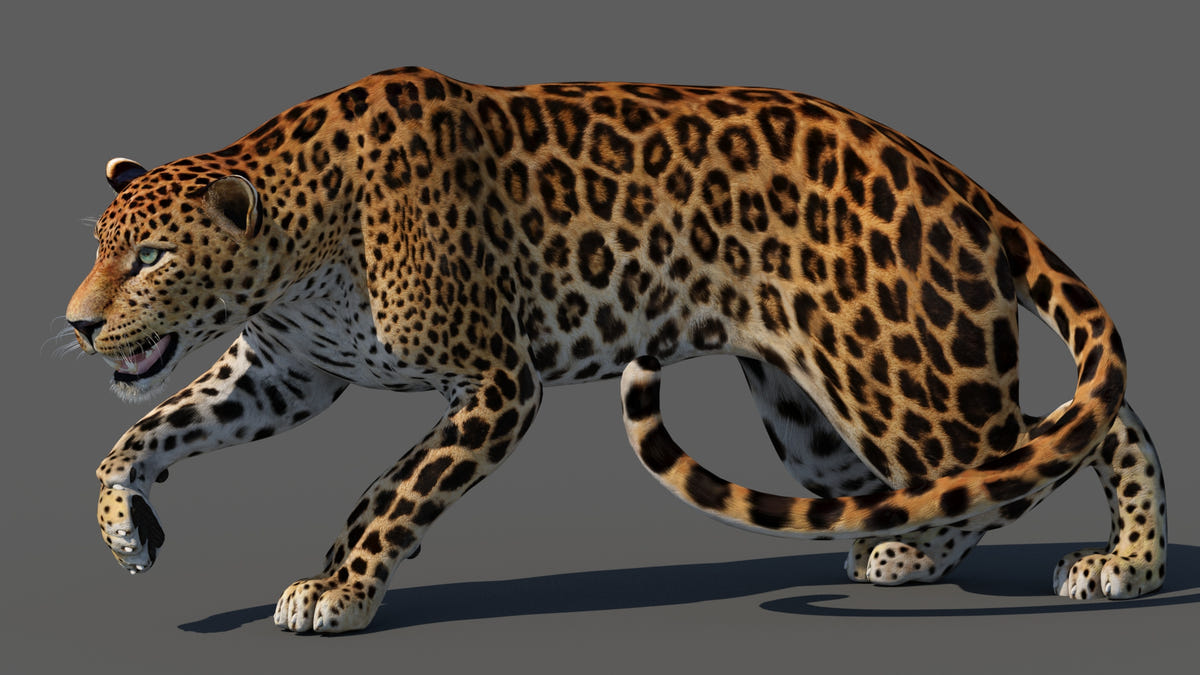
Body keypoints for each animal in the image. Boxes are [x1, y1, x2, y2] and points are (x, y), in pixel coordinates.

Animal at [66, 66, 1167, 634]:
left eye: (152, 256)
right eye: (99, 246)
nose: (75, 323)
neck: (301, 239)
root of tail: (956, 177)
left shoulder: (498, 382)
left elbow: (399, 488)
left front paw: (341, 587)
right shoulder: (287, 373)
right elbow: (141, 437)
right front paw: (128, 534)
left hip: (898, 372)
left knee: (1059, 443)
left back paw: (1123, 566)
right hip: (809, 410)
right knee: (970, 472)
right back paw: (915, 551)